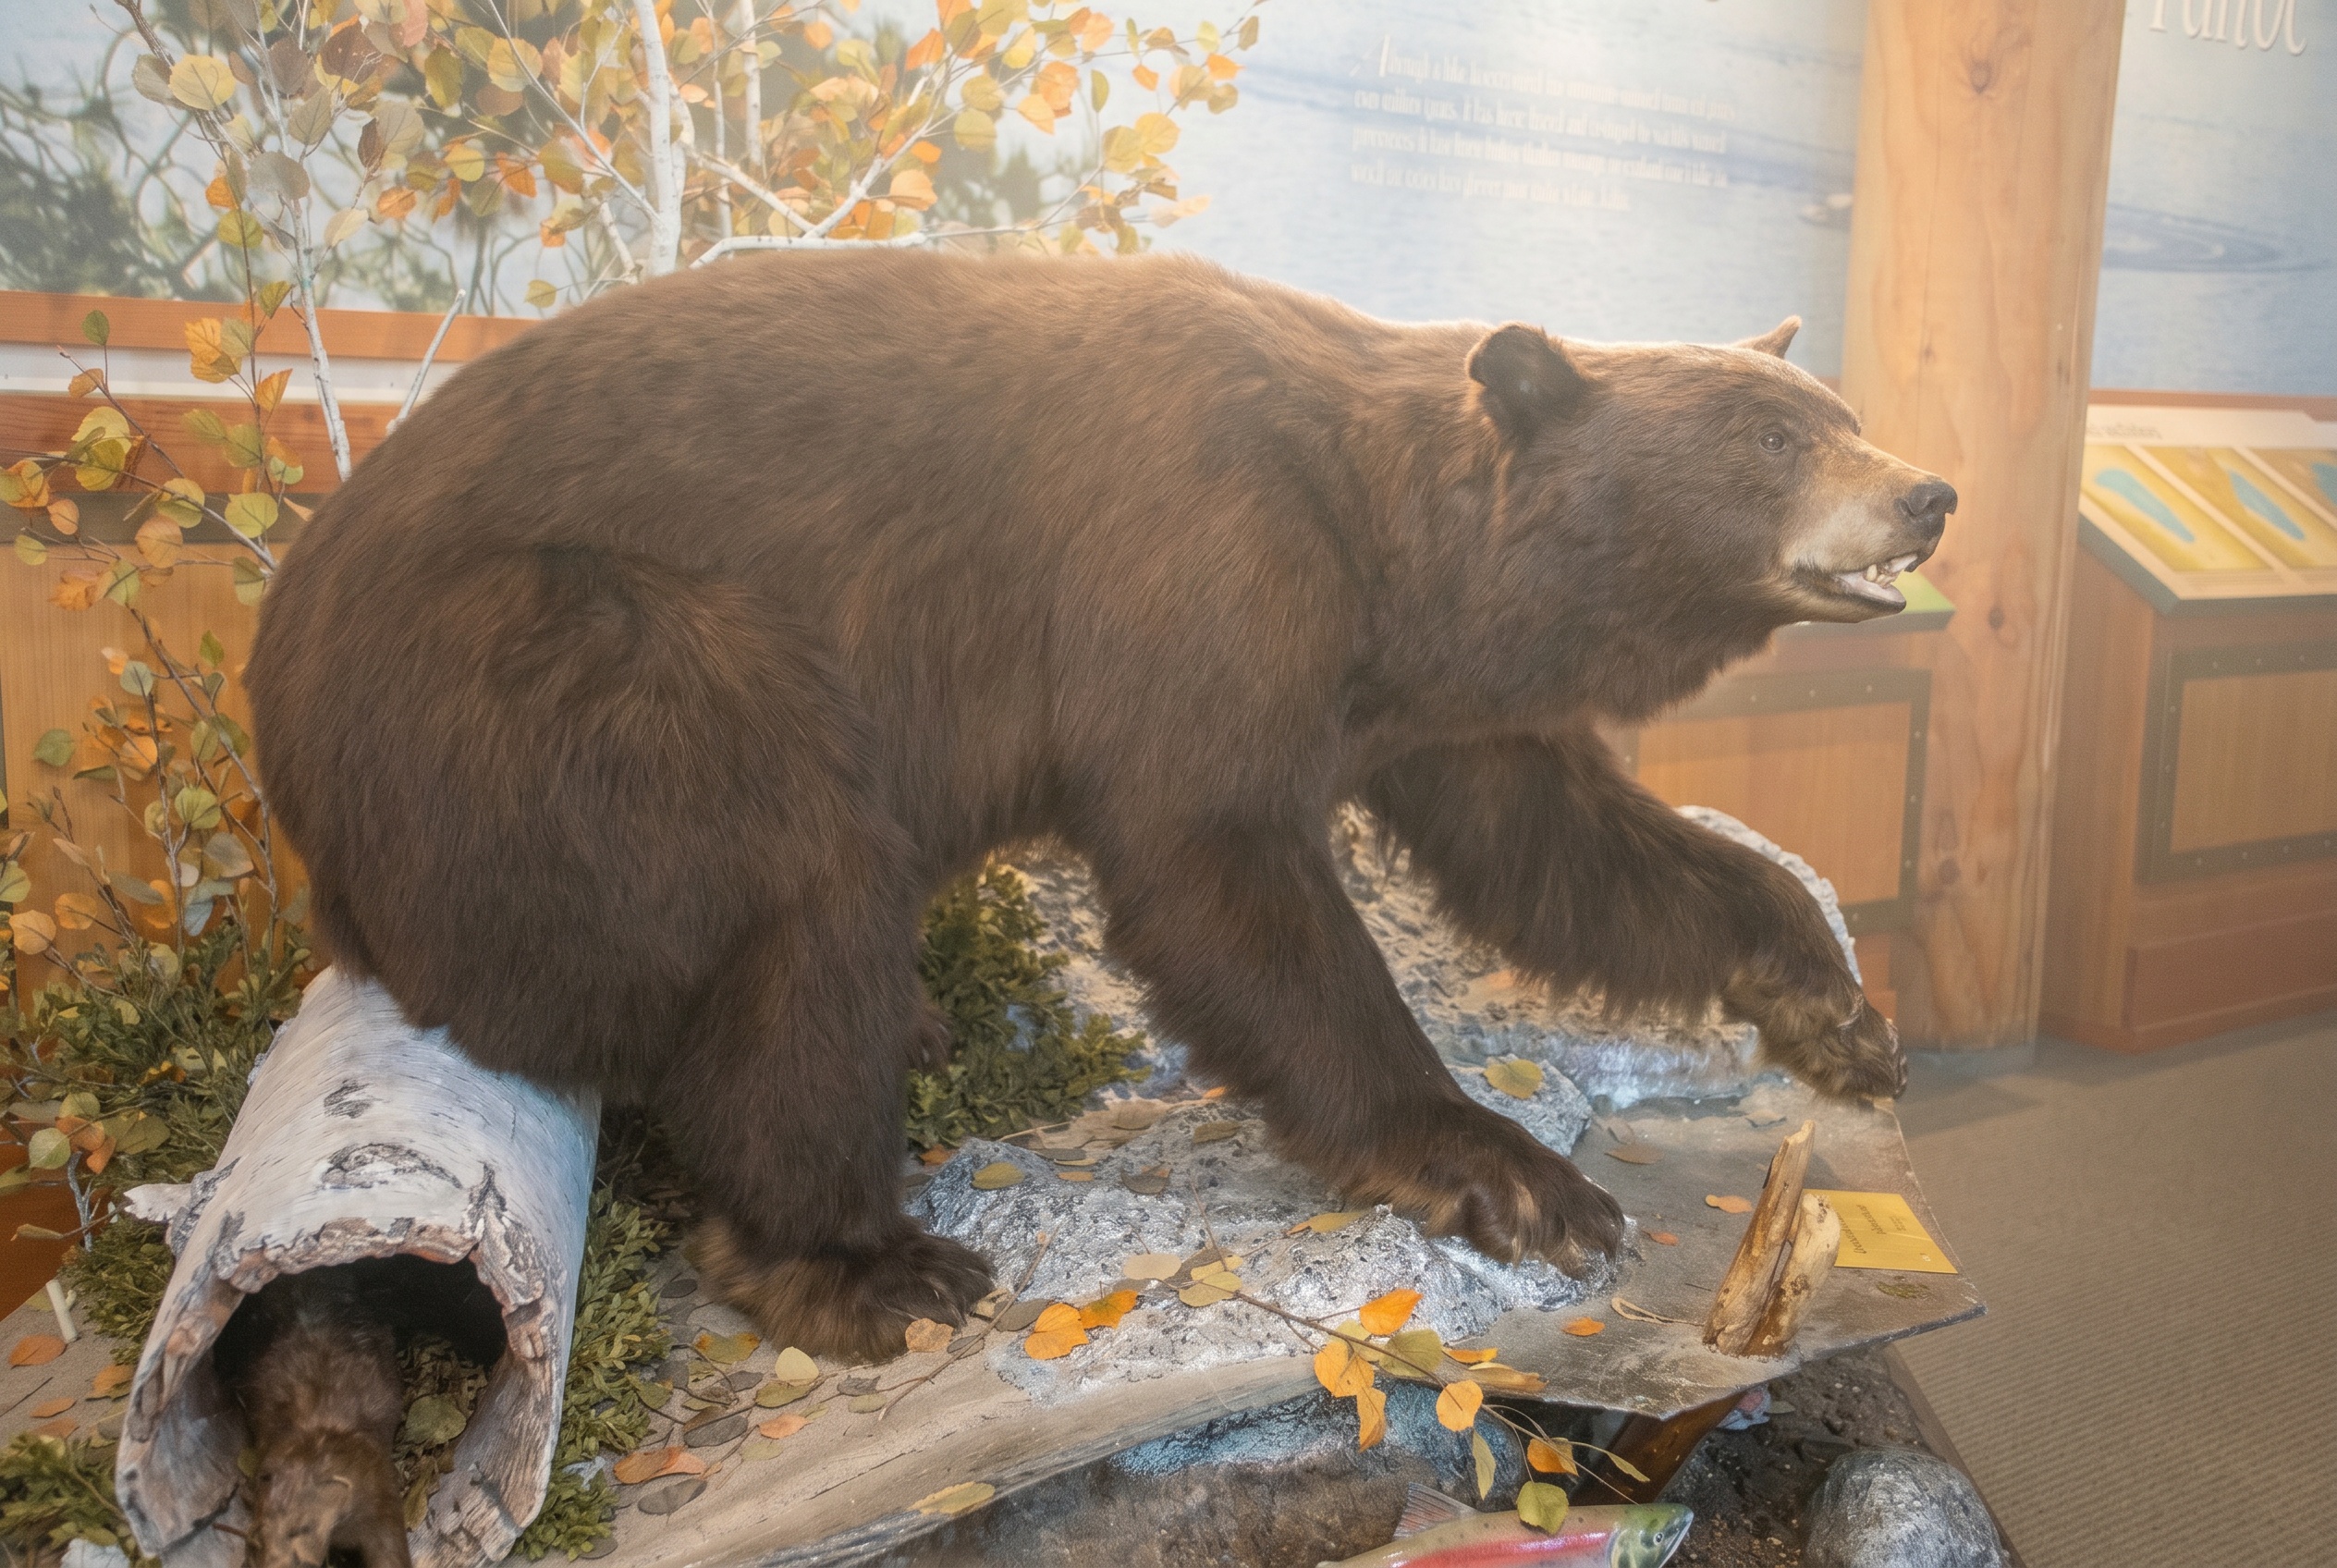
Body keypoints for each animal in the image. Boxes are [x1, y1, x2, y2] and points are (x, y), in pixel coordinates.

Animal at [246, 250, 1952, 1363]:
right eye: (1772, 439)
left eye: (1833, 403)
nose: (1931, 491)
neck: (1383, 536)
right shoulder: (1195, 555)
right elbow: (1214, 858)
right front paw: (1514, 1174)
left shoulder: (1423, 688)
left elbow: (1562, 848)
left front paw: (1832, 1010)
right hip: (541, 681)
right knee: (796, 873)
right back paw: (862, 1255)